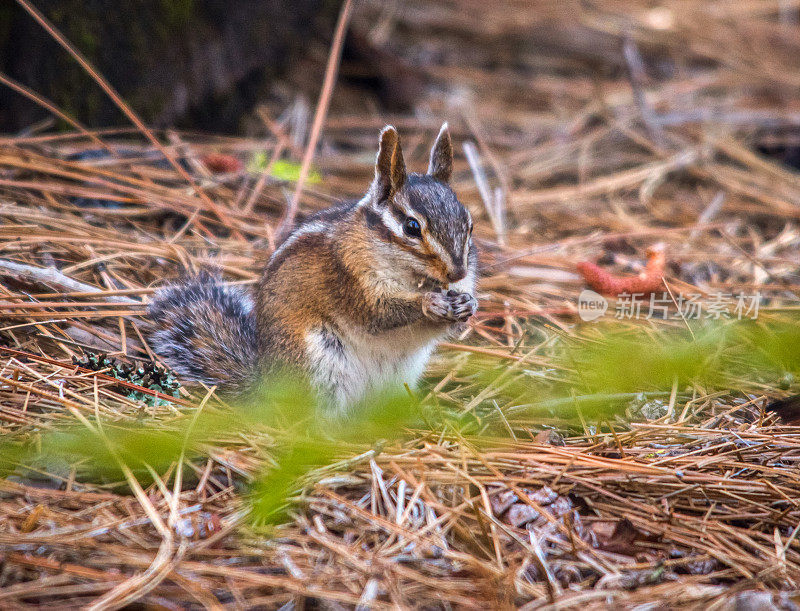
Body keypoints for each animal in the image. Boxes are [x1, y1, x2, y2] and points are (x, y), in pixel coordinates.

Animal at [148, 123, 478, 412]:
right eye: (411, 227)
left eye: (470, 224)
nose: (458, 274)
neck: (413, 278)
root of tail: (267, 382)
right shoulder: (349, 278)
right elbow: (378, 313)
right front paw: (429, 302)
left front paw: (467, 303)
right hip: (318, 367)